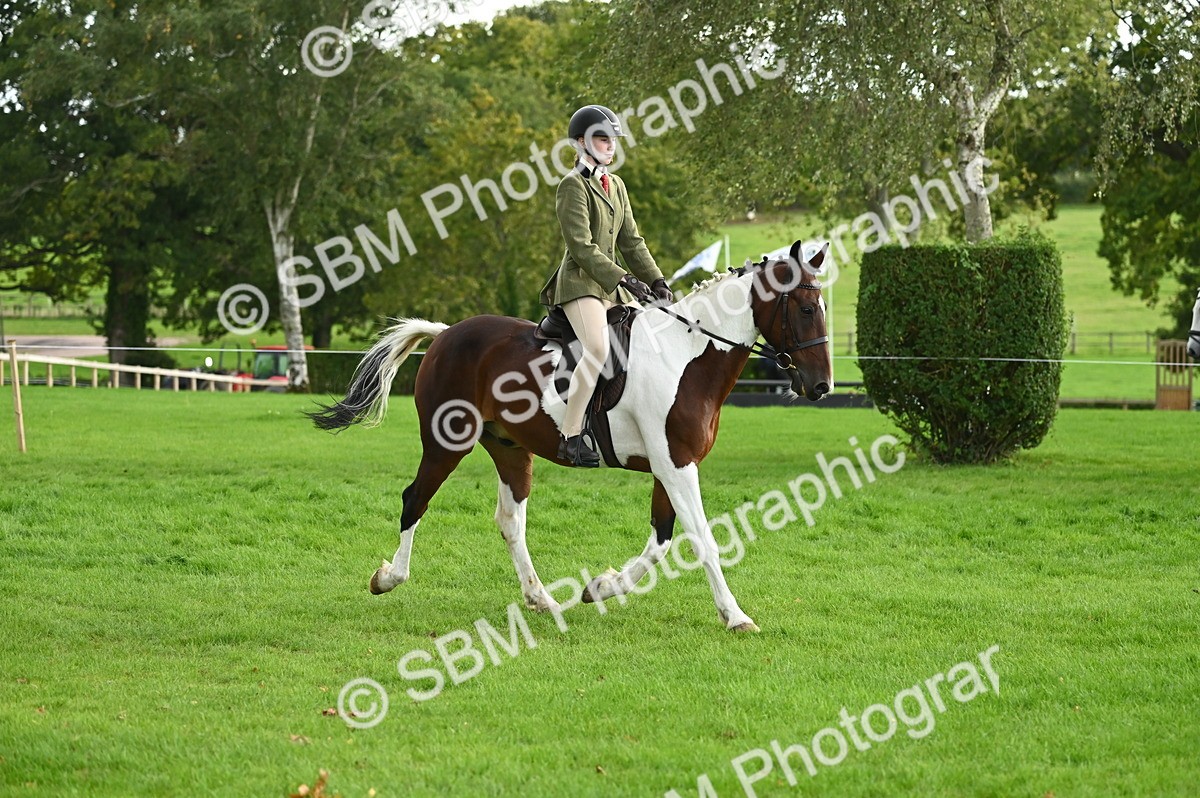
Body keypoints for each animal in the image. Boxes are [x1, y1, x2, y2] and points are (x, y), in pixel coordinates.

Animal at [307, 240, 832, 632]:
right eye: (807, 309)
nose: (821, 386)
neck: (686, 357)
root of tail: (446, 334)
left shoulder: (671, 466)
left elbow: (661, 541)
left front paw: (601, 587)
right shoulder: (677, 466)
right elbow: (701, 538)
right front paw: (735, 616)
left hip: (510, 449)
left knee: (510, 521)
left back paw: (540, 599)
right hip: (446, 443)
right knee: (415, 499)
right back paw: (388, 578)